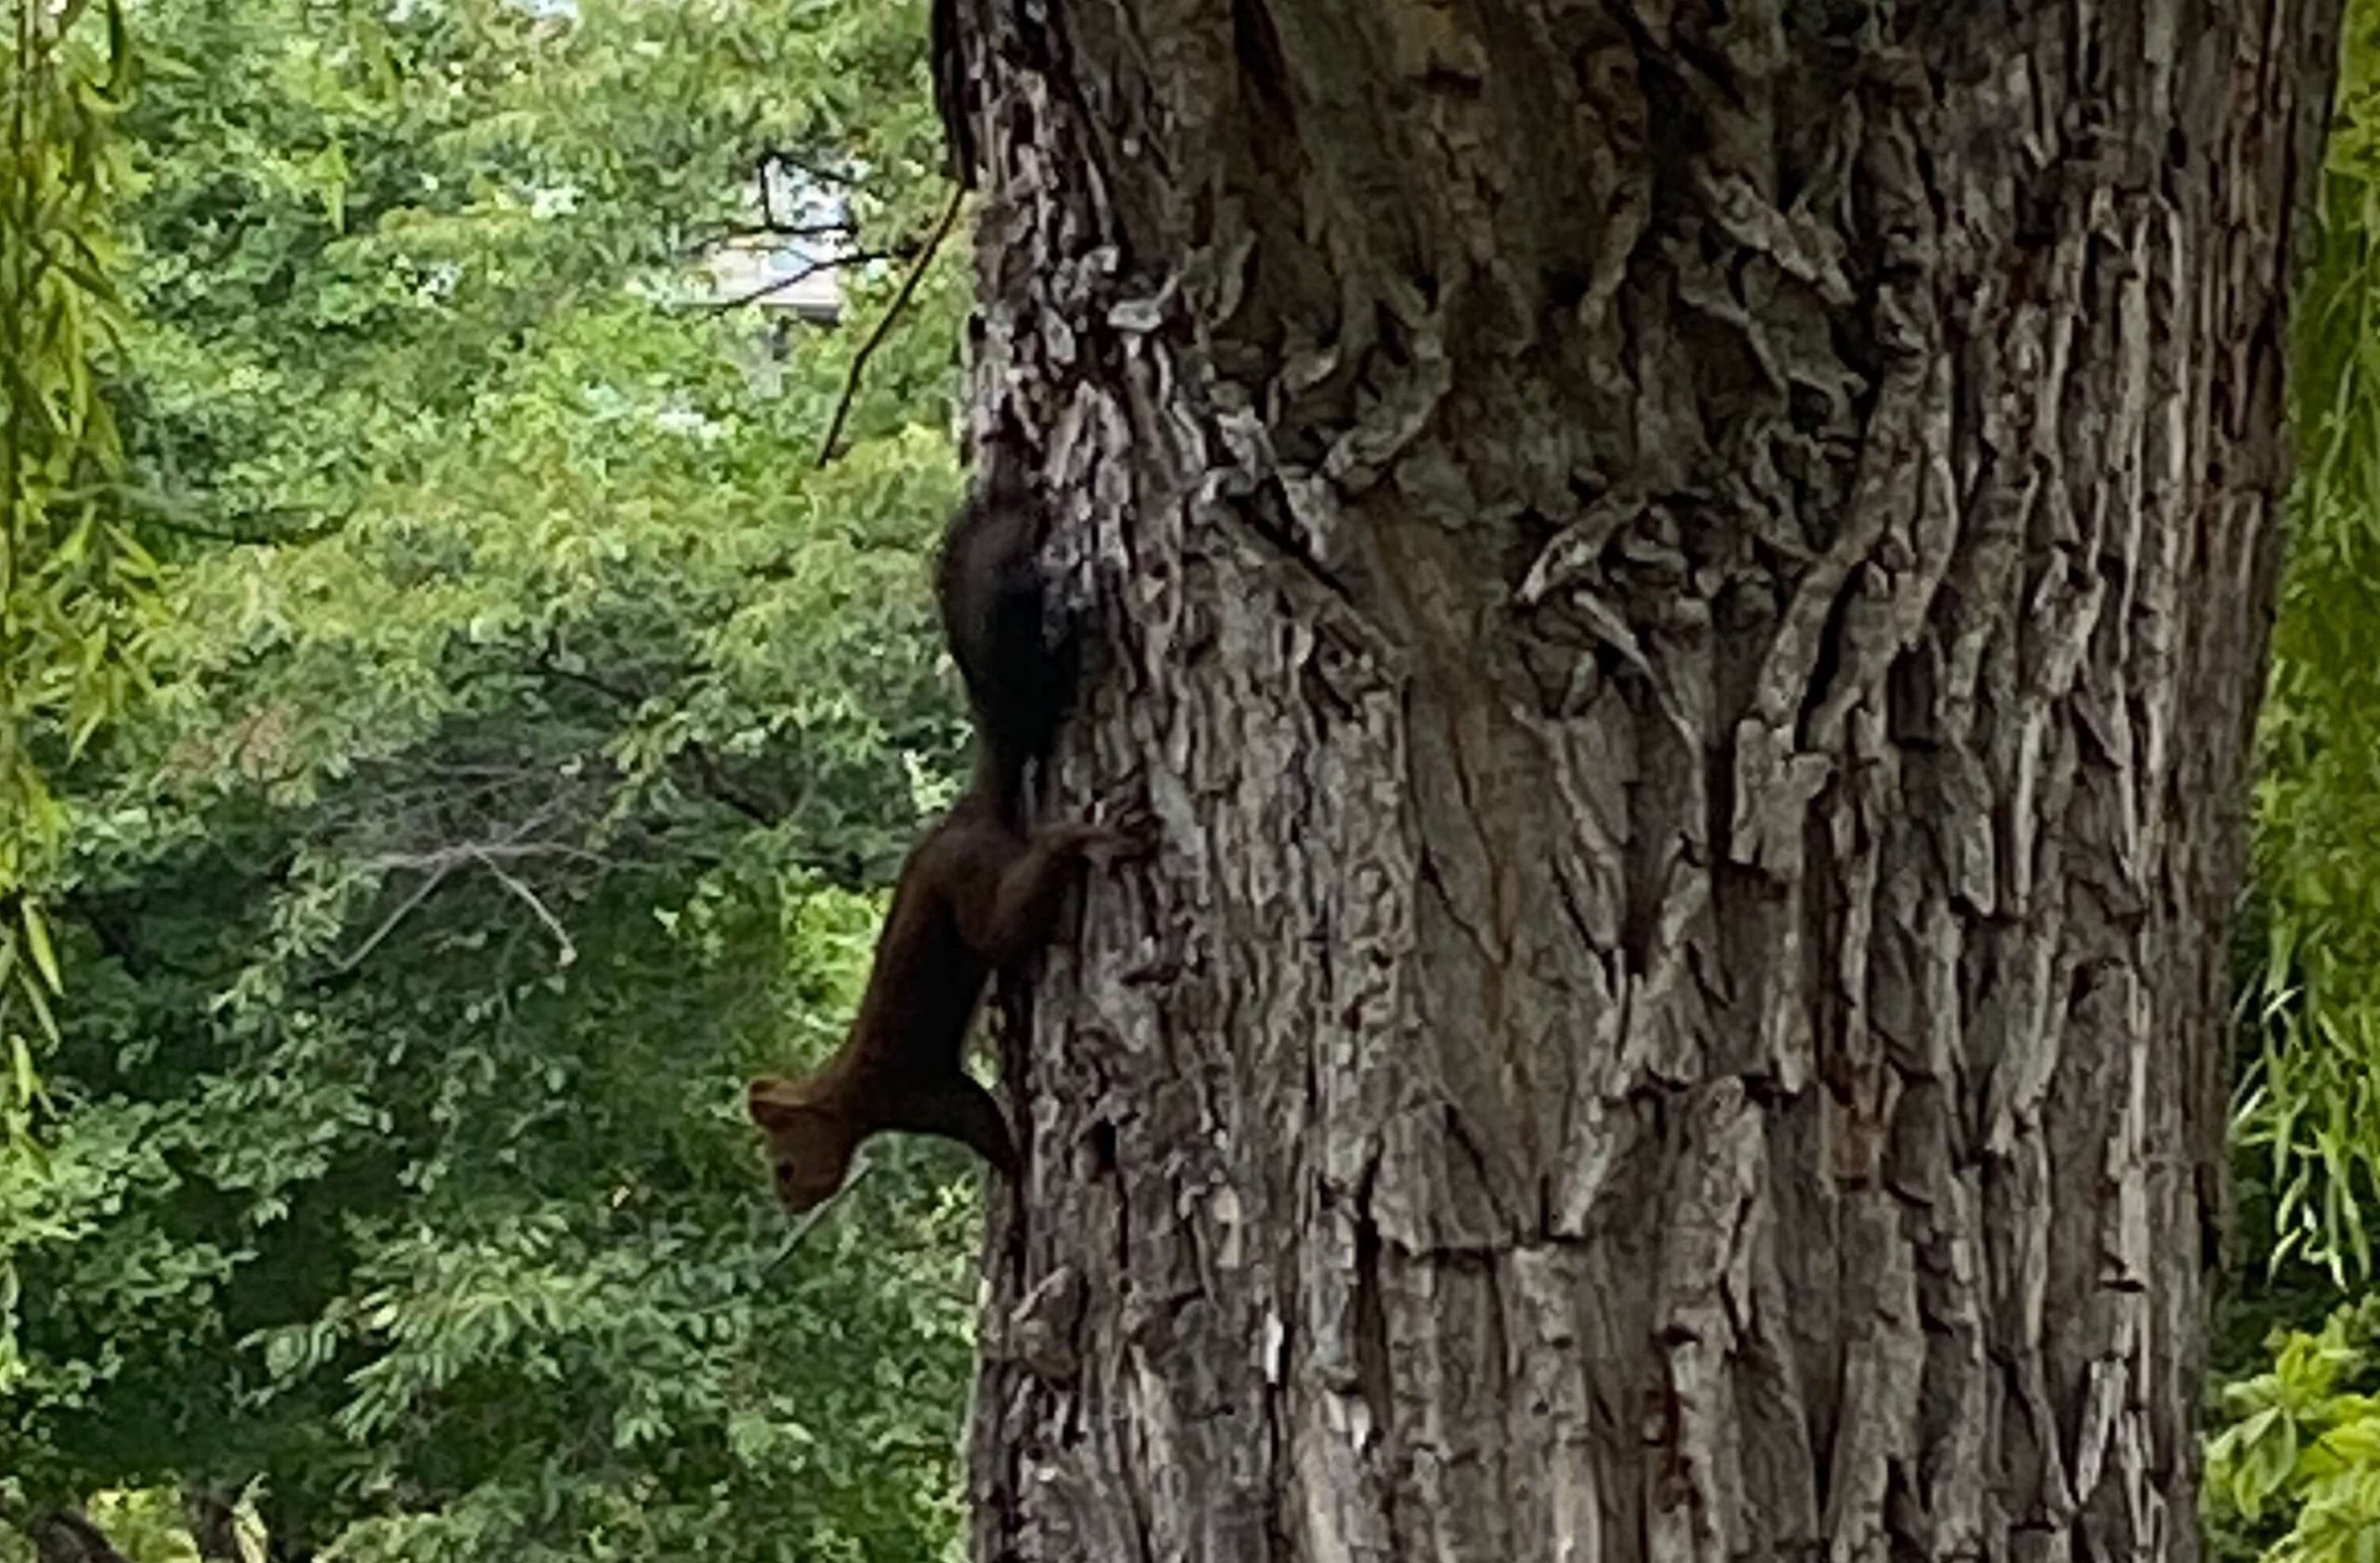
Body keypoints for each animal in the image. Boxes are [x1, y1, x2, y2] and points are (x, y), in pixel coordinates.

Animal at [751, 469, 1132, 1212]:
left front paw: (1013, 1180)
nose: (791, 1204)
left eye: (784, 1164)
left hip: (977, 883)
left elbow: (983, 1125)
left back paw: (1078, 840)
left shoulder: (923, 1093)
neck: (849, 1092)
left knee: (1011, 914)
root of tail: (964, 818)